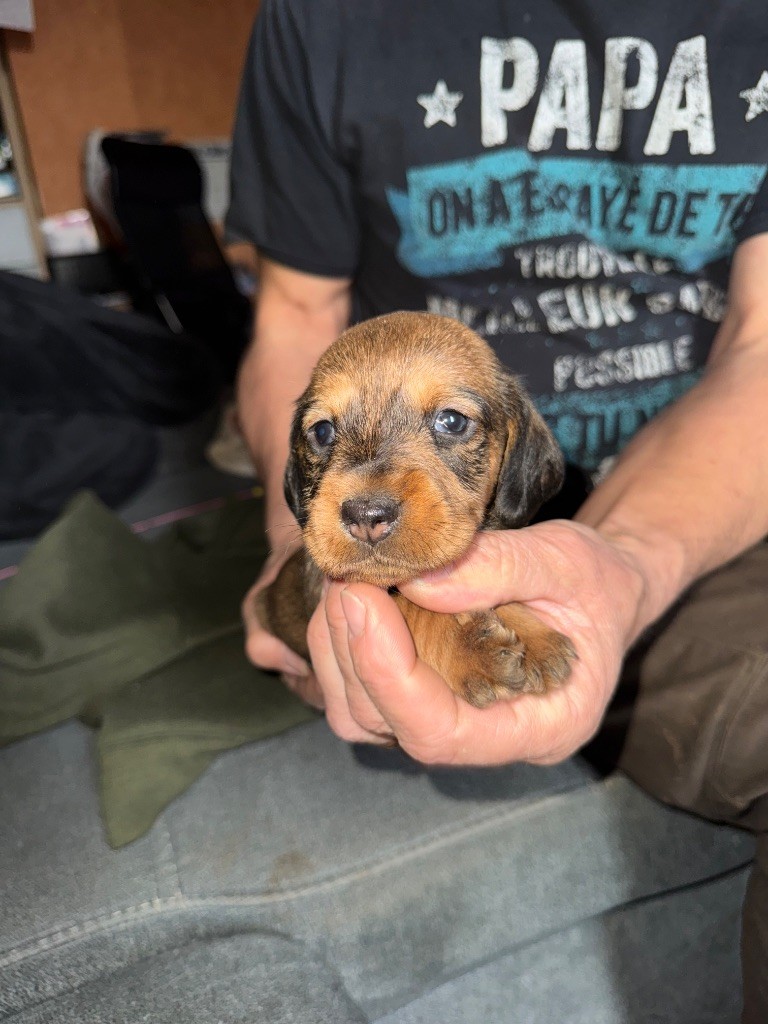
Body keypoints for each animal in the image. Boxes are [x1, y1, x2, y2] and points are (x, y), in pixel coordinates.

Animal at [260, 311, 577, 708]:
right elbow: (411, 608)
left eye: (451, 421)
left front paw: (534, 636)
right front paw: (472, 649)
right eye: (321, 431)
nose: (366, 515)